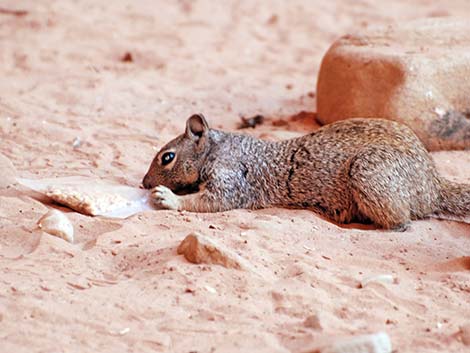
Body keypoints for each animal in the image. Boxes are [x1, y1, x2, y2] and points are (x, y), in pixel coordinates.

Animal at [143, 113, 470, 228]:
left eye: (167, 157)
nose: (144, 183)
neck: (217, 148)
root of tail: (433, 186)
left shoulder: (231, 176)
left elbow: (213, 201)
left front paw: (169, 198)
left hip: (369, 171)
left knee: (401, 221)